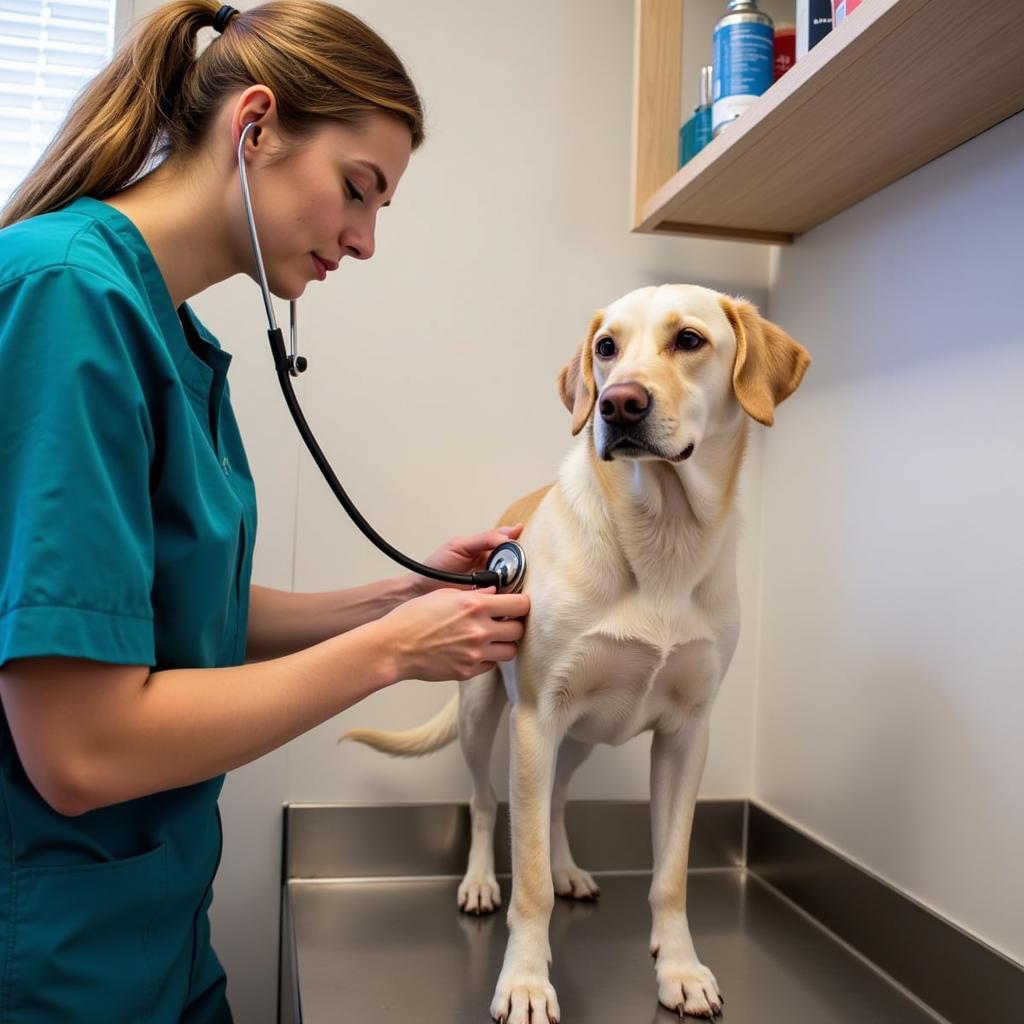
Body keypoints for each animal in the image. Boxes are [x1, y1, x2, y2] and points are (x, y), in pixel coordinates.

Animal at [344, 286, 806, 1024]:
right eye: (606, 348)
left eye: (689, 340)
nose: (616, 404)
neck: (663, 537)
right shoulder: (537, 719)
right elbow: (527, 877)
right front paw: (526, 982)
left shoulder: (687, 735)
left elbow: (671, 876)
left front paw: (680, 969)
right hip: (485, 715)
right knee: (484, 802)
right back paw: (481, 881)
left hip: (582, 736)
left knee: (556, 802)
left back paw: (567, 868)